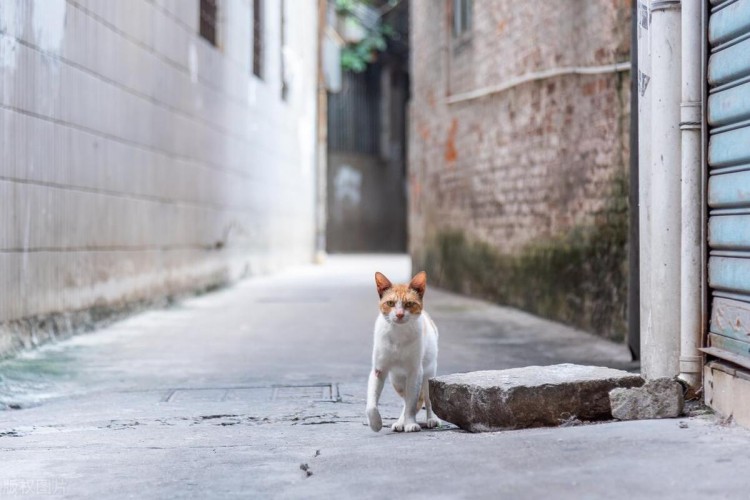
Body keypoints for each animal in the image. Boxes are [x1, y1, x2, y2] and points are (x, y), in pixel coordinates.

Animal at [366, 272, 438, 432]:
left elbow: (412, 403)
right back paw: (400, 422)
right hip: (397, 381)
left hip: (427, 375)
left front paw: (410, 423)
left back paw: (431, 419)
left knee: (427, 399)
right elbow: (371, 404)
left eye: (409, 304)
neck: (398, 333)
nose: (399, 314)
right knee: (405, 399)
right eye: (390, 303)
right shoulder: (378, 370)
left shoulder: (415, 372)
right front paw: (375, 423)